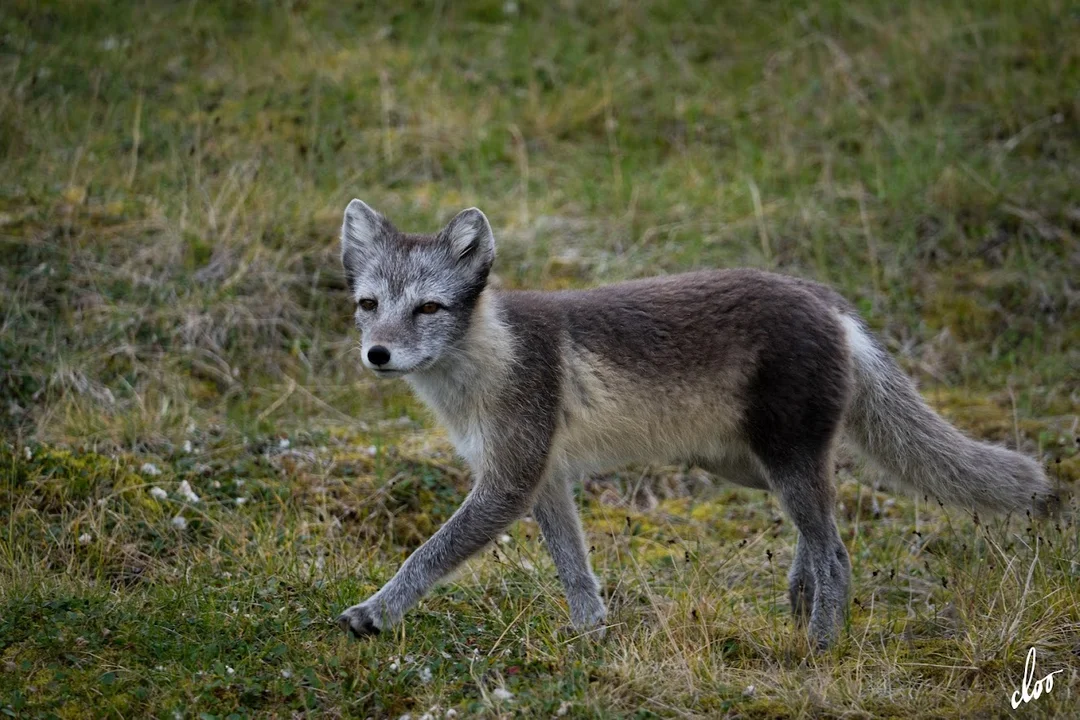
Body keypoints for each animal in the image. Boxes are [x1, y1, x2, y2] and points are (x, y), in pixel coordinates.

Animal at [336, 199, 1054, 651]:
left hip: (781, 459)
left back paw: (821, 647)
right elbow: (575, 568)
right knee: (828, 518)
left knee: (837, 551)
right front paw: (590, 635)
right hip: (746, 465)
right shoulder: (544, 479)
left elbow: (428, 555)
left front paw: (376, 612)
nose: (378, 355)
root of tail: (825, 297)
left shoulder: (509, 481)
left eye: (429, 308)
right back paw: (801, 599)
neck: (488, 359)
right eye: (368, 305)